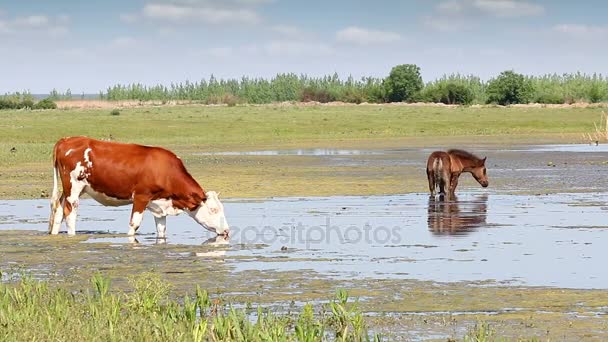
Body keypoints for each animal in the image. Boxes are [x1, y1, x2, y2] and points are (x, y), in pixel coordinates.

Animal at [47, 136, 230, 238]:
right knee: (69, 214)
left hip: (70, 189)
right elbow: (134, 224)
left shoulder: (160, 205)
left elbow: (162, 230)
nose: (227, 231)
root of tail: (66, 140)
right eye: (213, 210)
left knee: (58, 210)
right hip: (74, 188)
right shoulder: (141, 197)